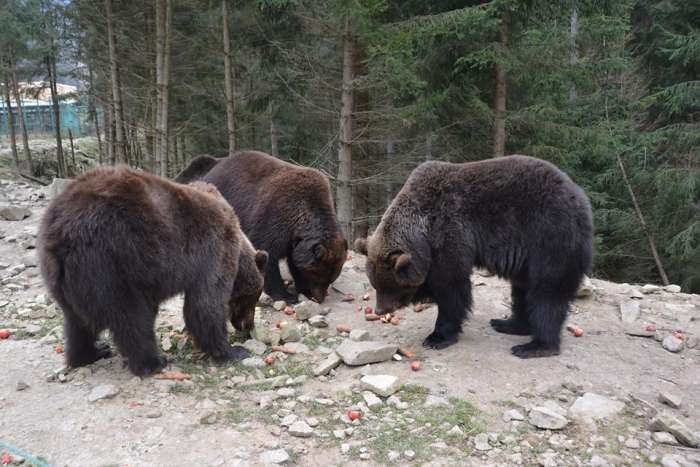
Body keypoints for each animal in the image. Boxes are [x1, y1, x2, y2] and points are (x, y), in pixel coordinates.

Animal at [38, 166, 270, 378]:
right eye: (252, 298)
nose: (247, 325)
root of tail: (59, 236)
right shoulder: (214, 249)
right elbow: (204, 305)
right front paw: (233, 351)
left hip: (68, 282)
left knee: (76, 323)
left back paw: (91, 353)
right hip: (109, 263)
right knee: (131, 317)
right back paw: (152, 362)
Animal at [176, 151, 348, 308]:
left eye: (330, 278)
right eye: (321, 276)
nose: (319, 297)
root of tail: (216, 164)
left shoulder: (295, 241)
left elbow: (296, 263)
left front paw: (304, 290)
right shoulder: (274, 218)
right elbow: (267, 254)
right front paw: (287, 296)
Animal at [356, 156, 592, 358]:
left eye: (390, 287)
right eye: (375, 284)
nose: (380, 309)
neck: (422, 229)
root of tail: (582, 198)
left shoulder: (450, 234)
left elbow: (452, 288)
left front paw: (437, 336)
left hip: (550, 236)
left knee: (547, 291)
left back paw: (536, 345)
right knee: (522, 289)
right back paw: (508, 324)